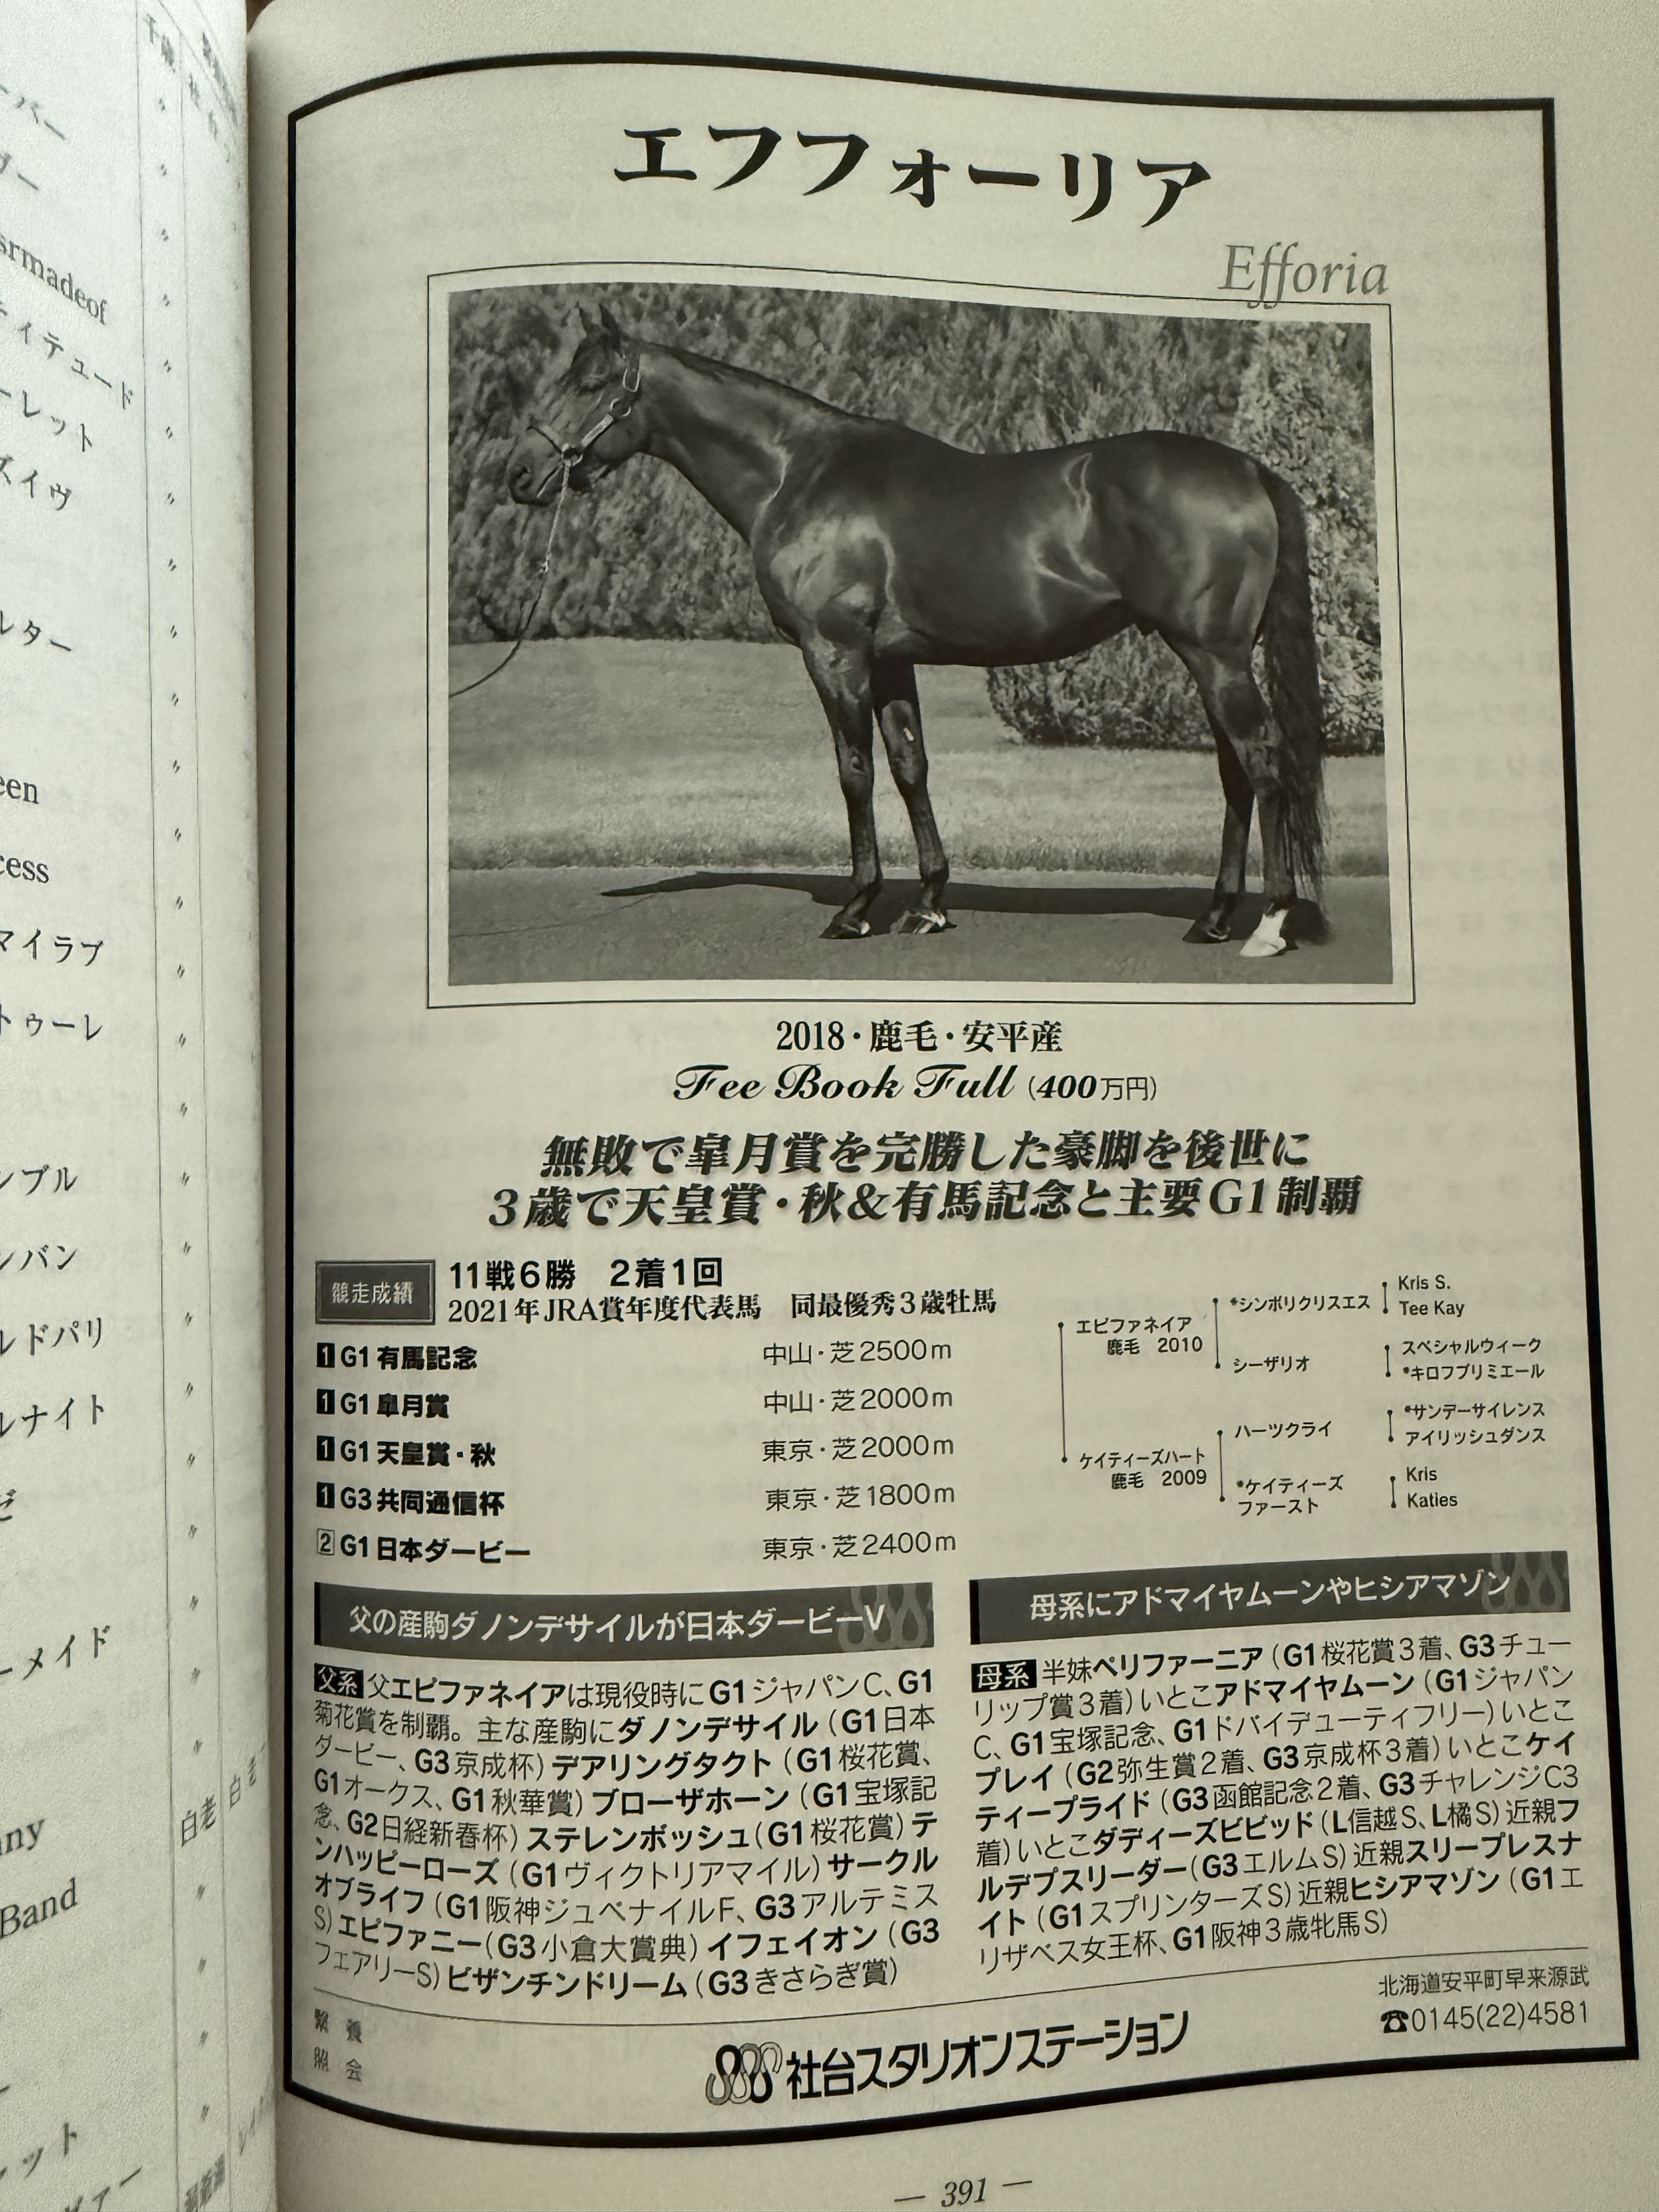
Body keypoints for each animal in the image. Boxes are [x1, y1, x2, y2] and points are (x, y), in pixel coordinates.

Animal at [501, 303, 1327, 955]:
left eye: (591, 384)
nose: (519, 474)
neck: (797, 472)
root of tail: (1250, 470)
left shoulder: (834, 653)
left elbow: (854, 772)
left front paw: (857, 907)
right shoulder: (893, 661)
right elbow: (909, 768)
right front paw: (928, 903)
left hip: (1214, 656)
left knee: (1261, 760)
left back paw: (1269, 922)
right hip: (1210, 658)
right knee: (1237, 773)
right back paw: (1214, 918)